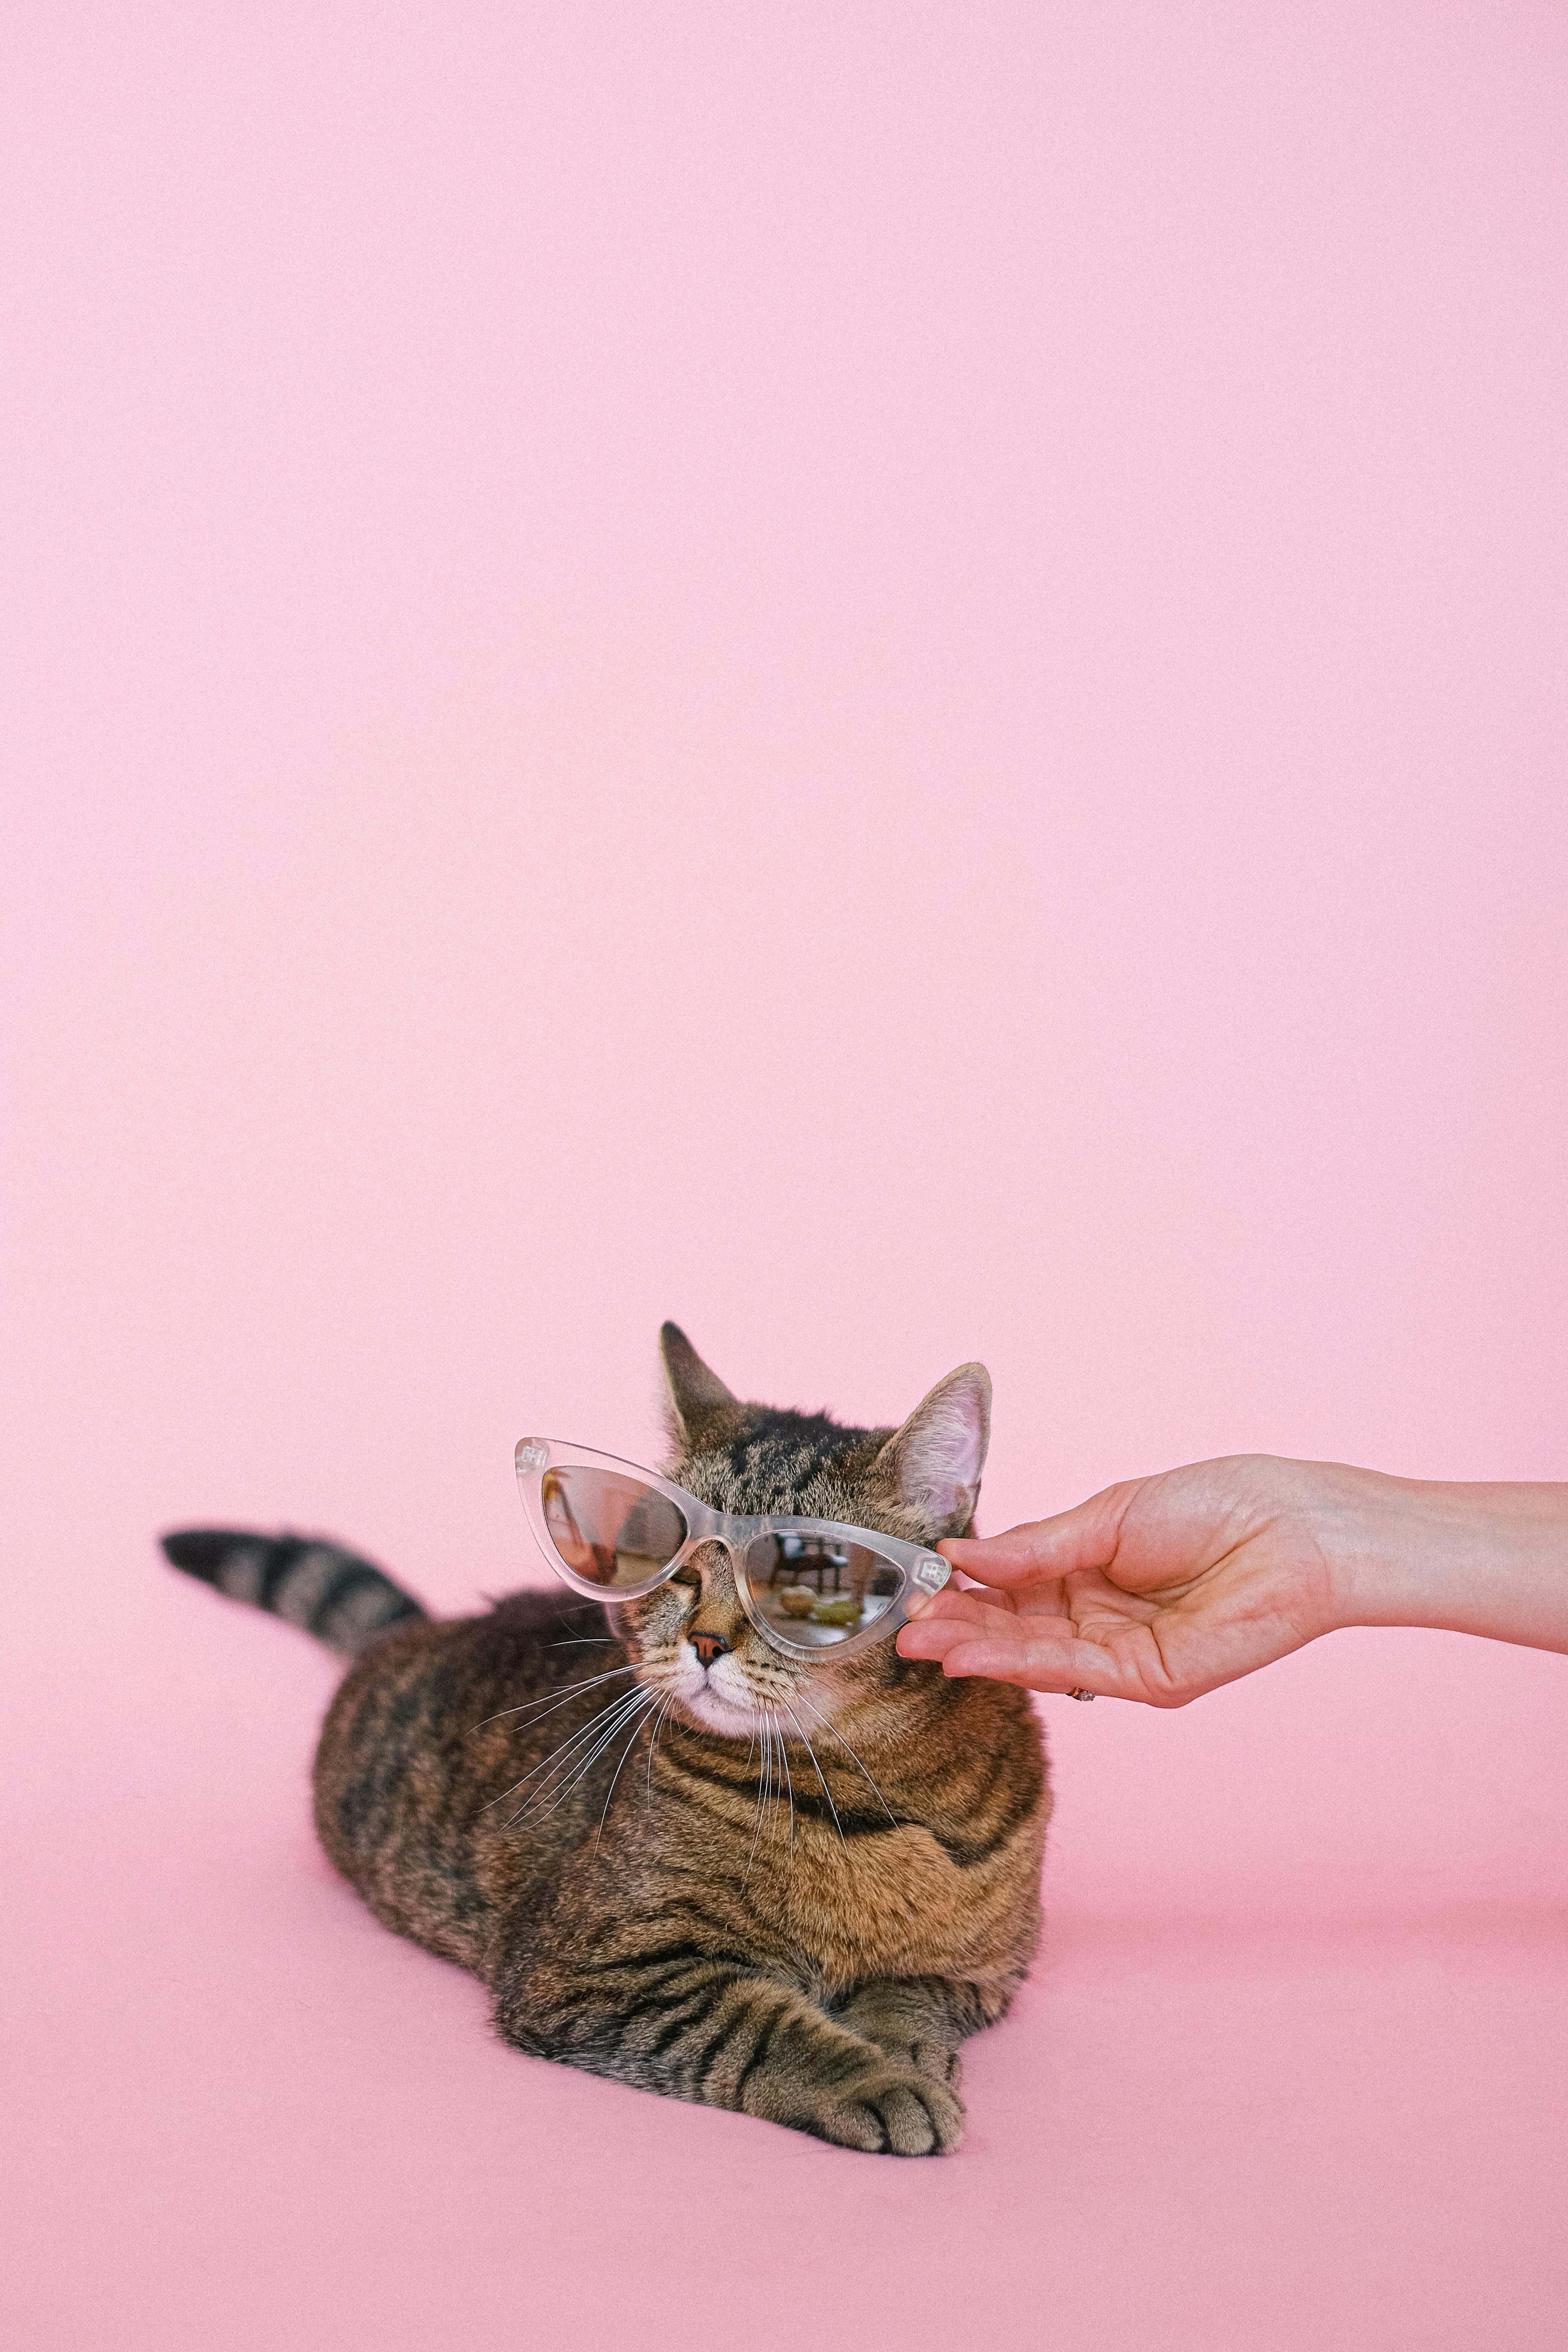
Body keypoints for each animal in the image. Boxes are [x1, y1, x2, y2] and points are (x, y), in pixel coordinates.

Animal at [160, 1326, 1048, 2154]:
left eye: (806, 1578)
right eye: (678, 1567)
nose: (705, 1640)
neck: (867, 1788)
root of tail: (432, 1627)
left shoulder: (980, 1970)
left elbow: (906, 1999)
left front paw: (906, 2049)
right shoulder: (598, 1969)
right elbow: (766, 2027)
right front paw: (877, 2080)